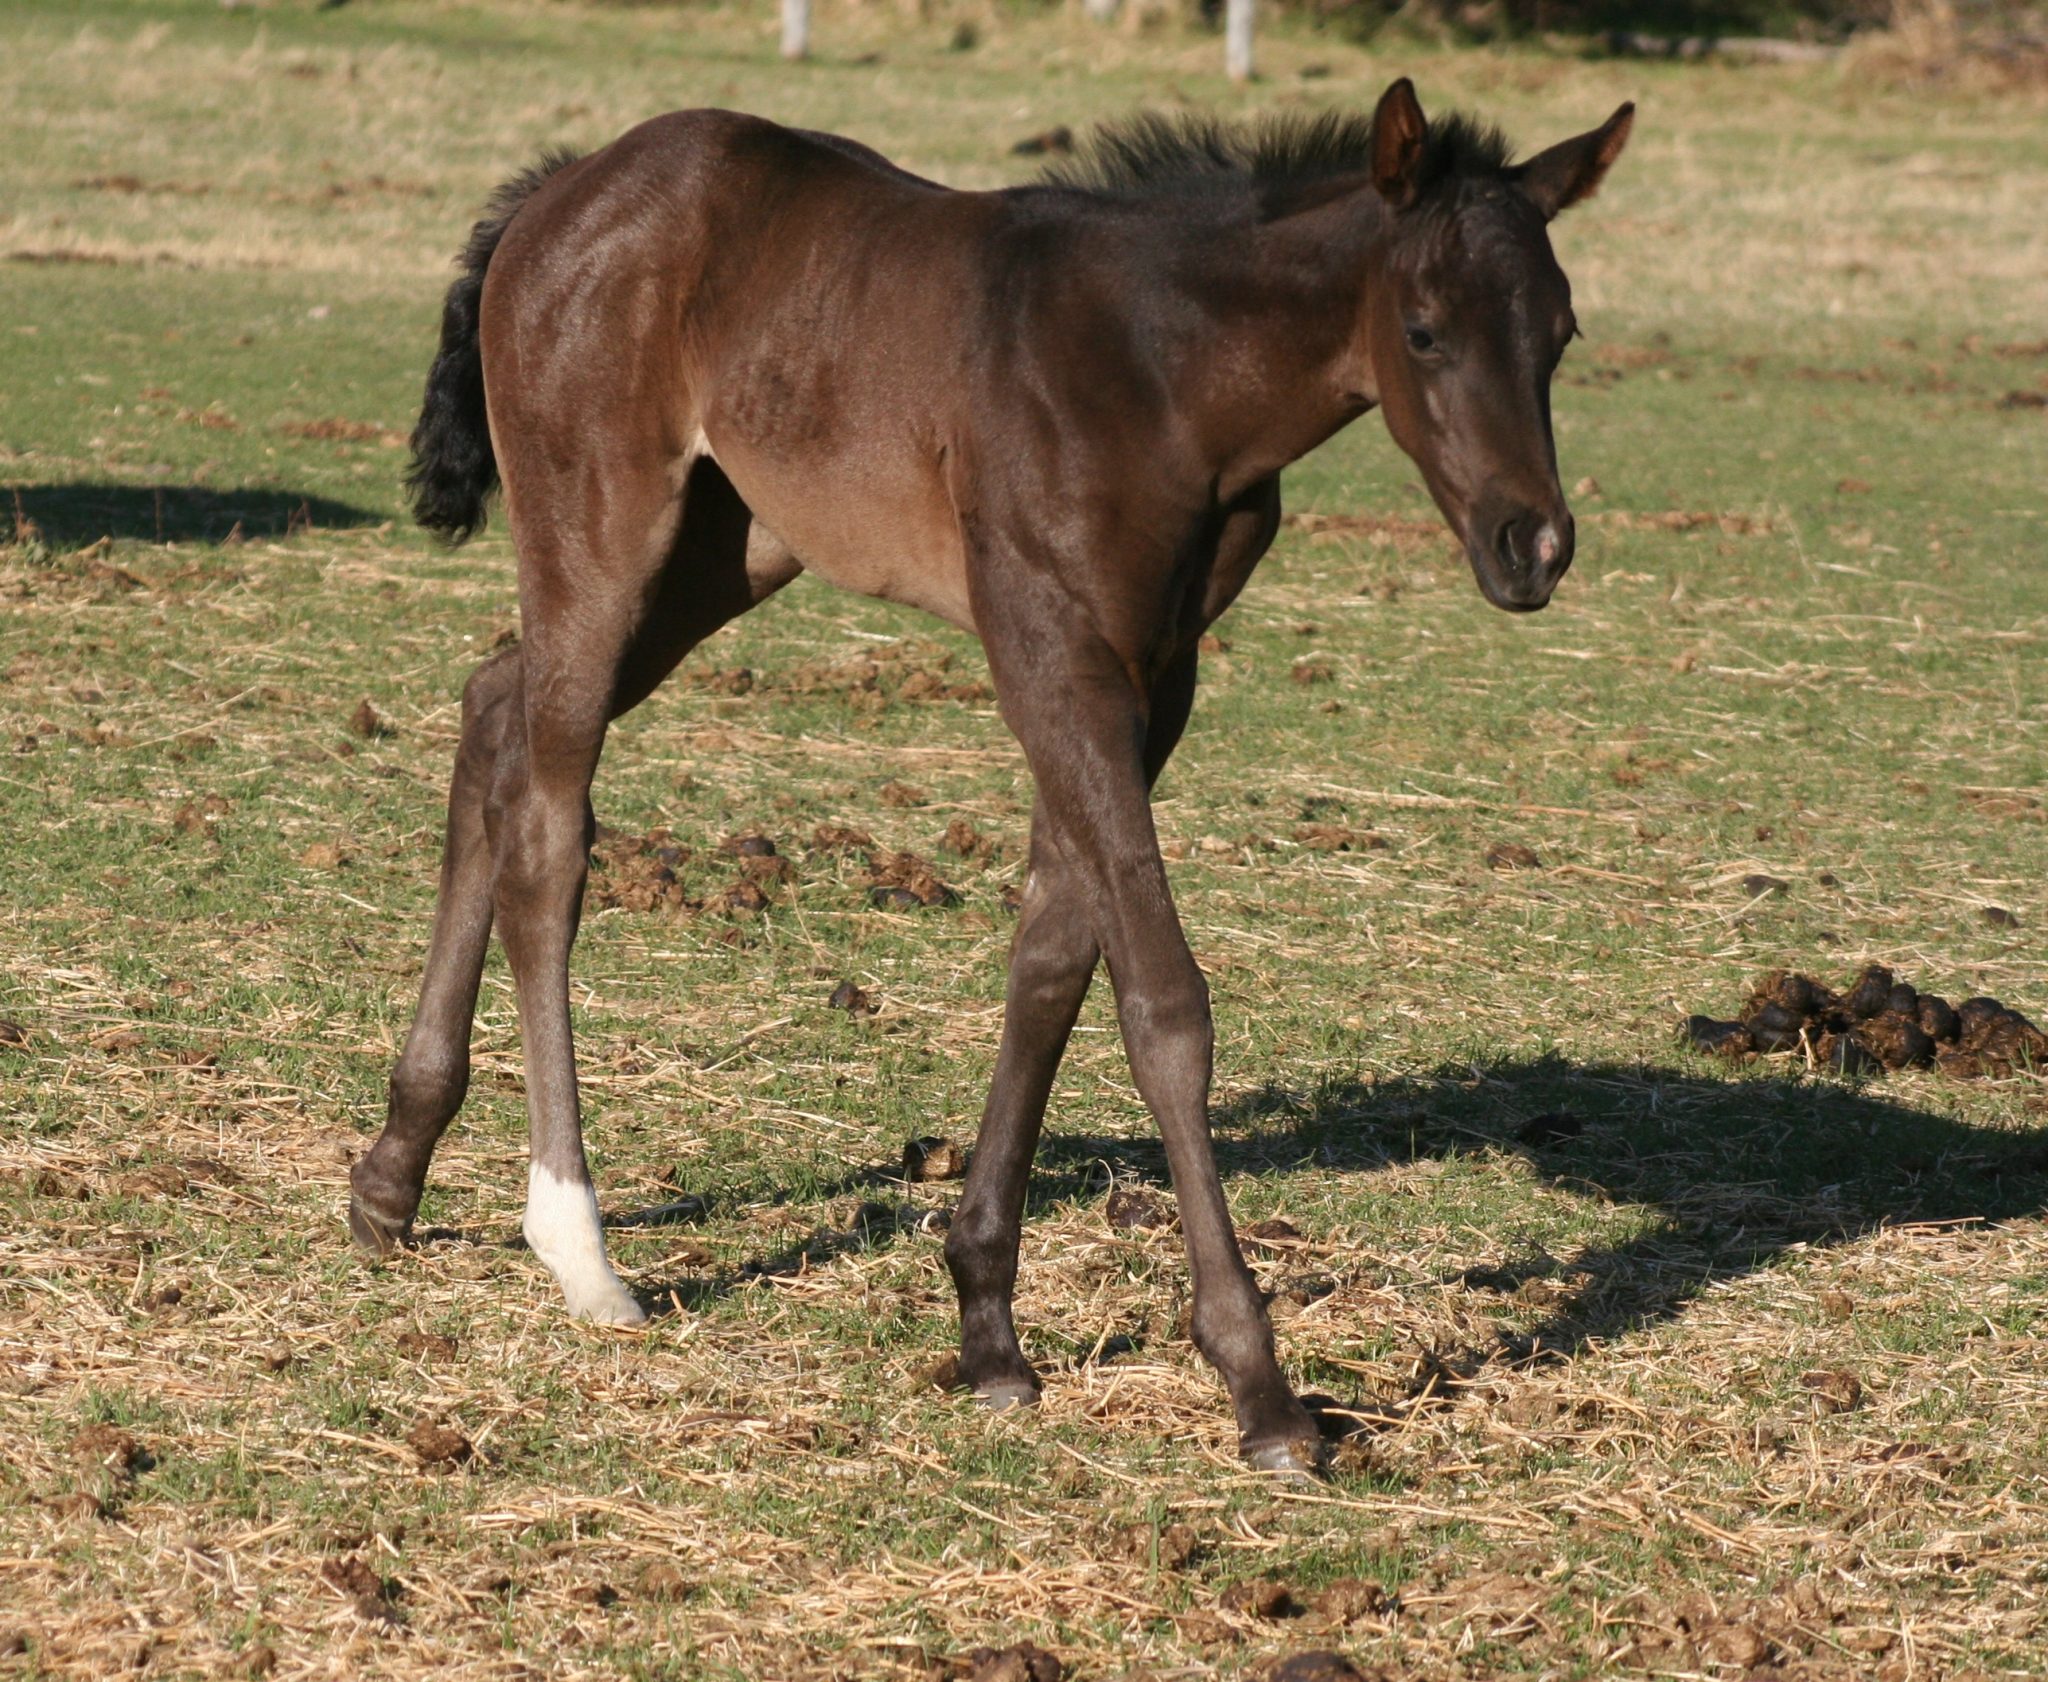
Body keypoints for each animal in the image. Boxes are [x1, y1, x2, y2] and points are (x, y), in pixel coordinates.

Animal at [349, 78, 1633, 1477]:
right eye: (1422, 328)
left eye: (1560, 329)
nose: (1532, 545)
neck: (1158, 373)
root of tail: (562, 189)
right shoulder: (1048, 646)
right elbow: (1161, 1003)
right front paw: (1258, 1384)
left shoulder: (1153, 672)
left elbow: (1054, 960)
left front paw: (986, 1327)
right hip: (603, 529)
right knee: (546, 826)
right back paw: (576, 1247)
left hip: (728, 546)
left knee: (491, 710)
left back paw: (393, 1172)